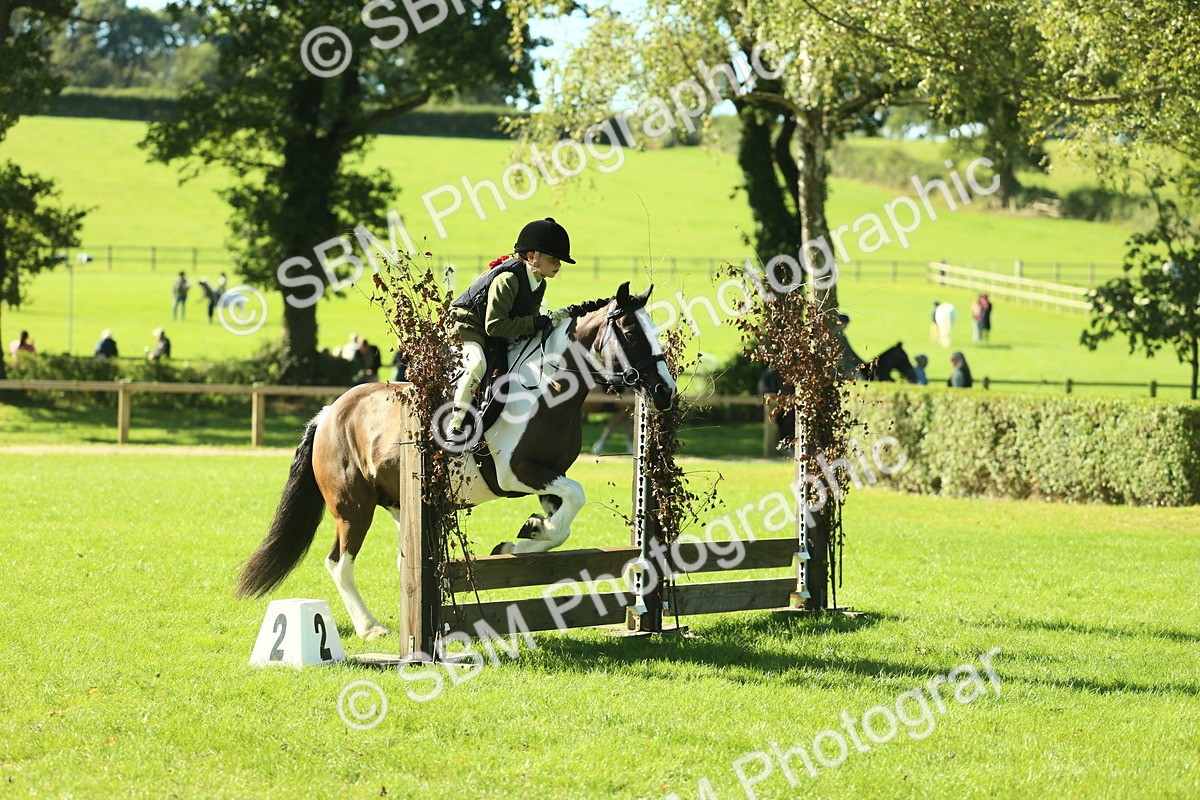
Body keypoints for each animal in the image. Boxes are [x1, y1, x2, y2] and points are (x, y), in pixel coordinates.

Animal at [236, 282, 677, 640]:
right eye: (632, 332)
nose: (664, 391)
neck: (549, 387)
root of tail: (329, 413)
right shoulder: (515, 473)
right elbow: (578, 496)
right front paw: (527, 534)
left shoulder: (549, 475)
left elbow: (563, 524)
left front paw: (525, 536)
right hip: (353, 506)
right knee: (339, 563)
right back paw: (370, 628)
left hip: (399, 503)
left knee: (400, 562)